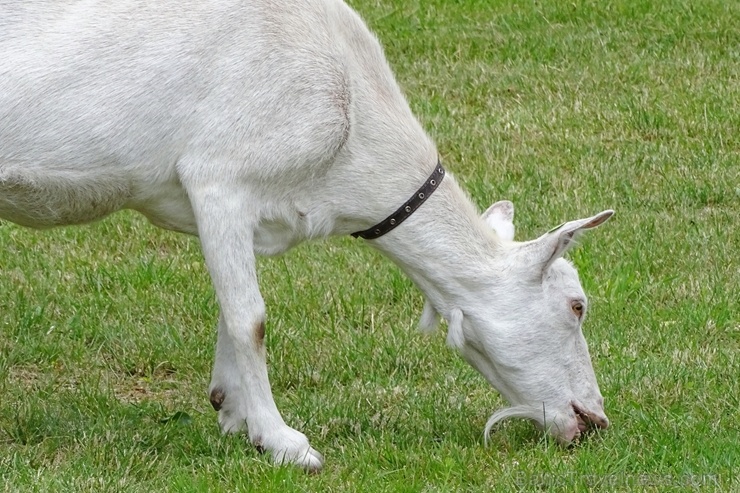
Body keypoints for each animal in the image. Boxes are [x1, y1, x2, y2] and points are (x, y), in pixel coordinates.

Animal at [0, 0, 612, 468]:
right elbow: (251, 319)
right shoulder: (218, 178)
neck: (351, 114)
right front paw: (286, 444)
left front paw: (234, 413)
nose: (595, 420)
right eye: (577, 305)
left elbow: (230, 310)